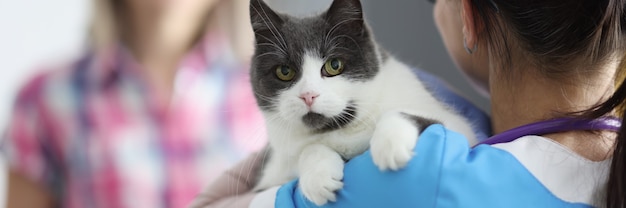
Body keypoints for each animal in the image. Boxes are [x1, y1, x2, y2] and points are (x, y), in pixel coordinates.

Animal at [246, 0, 476, 205]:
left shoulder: (456, 124)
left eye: (334, 65)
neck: (342, 129)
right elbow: (308, 148)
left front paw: (390, 145)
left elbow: (407, 114)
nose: (308, 95)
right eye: (284, 71)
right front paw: (318, 177)